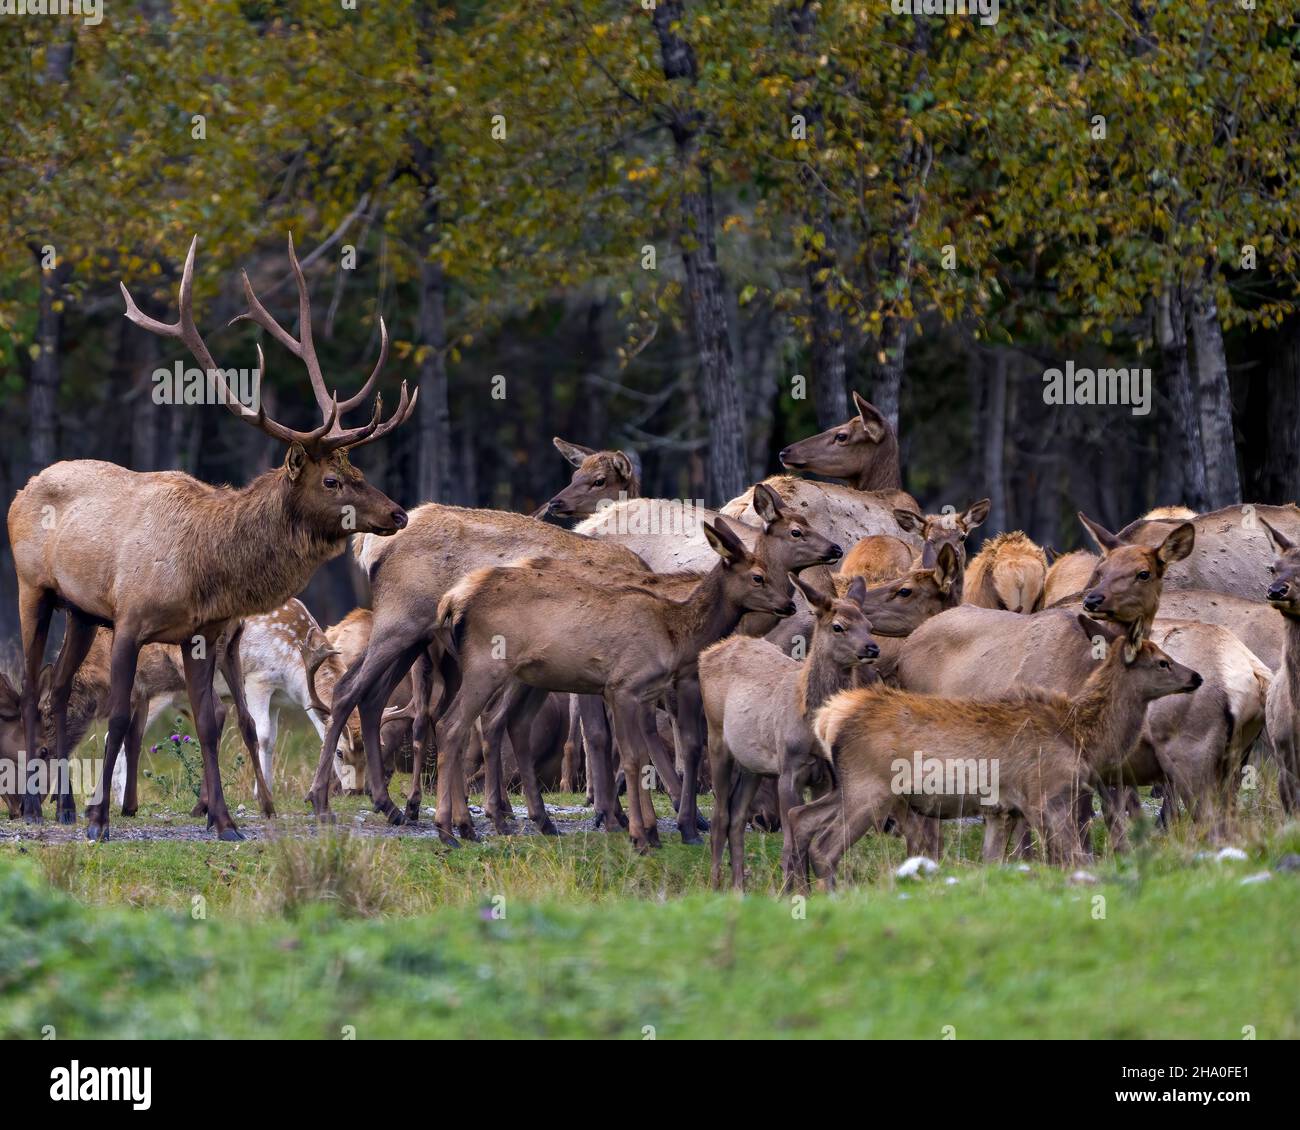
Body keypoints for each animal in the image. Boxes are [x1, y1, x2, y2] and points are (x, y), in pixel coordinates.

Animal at [7, 233, 414, 840]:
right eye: (333, 479)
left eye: (359, 470)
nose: (398, 514)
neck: (202, 569)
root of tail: (23, 488)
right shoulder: (130, 619)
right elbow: (121, 716)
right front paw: (103, 818)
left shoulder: (200, 633)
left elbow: (208, 721)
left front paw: (224, 821)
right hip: (32, 586)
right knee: (34, 686)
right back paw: (40, 807)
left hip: (80, 610)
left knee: (58, 686)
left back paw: (63, 806)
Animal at [434, 517, 797, 852]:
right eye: (758, 576)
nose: (789, 604)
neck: (676, 637)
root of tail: (451, 601)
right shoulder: (622, 687)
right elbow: (634, 757)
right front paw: (642, 834)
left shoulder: (644, 694)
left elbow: (641, 755)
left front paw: (650, 831)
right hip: (488, 665)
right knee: (451, 726)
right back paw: (450, 829)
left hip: (525, 676)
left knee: (497, 724)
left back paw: (497, 824)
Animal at [699, 573, 878, 890]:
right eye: (838, 626)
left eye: (869, 625)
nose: (872, 648)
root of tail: (705, 654)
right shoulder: (789, 769)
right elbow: (790, 843)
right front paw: (792, 889)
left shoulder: (825, 776)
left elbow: (806, 835)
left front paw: (805, 887)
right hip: (716, 736)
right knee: (720, 816)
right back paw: (716, 885)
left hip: (753, 765)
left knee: (737, 817)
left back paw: (739, 888)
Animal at [788, 616, 1202, 890]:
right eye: (1162, 661)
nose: (1196, 676)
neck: (1082, 739)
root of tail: (830, 719)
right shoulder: (1045, 795)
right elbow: (1073, 856)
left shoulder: (1003, 809)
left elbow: (993, 862)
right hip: (871, 790)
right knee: (825, 846)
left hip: (848, 786)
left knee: (802, 817)